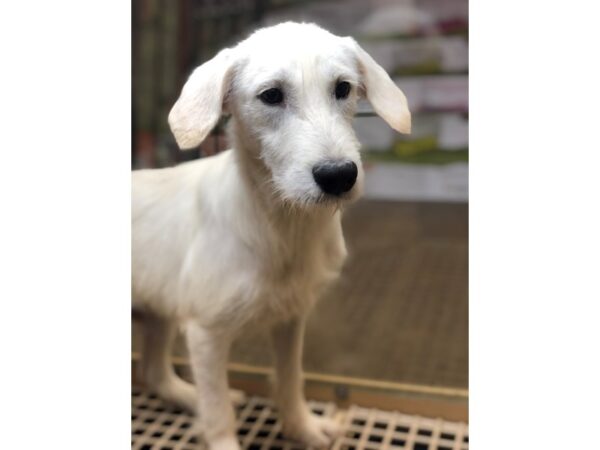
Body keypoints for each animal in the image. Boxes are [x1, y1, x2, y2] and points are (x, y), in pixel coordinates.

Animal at [133, 22, 410, 450]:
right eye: (271, 96)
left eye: (343, 88)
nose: (338, 176)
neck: (283, 226)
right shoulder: (206, 334)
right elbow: (218, 411)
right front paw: (222, 436)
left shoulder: (291, 318)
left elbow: (290, 379)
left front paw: (303, 428)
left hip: (159, 310)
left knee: (155, 373)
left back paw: (185, 396)